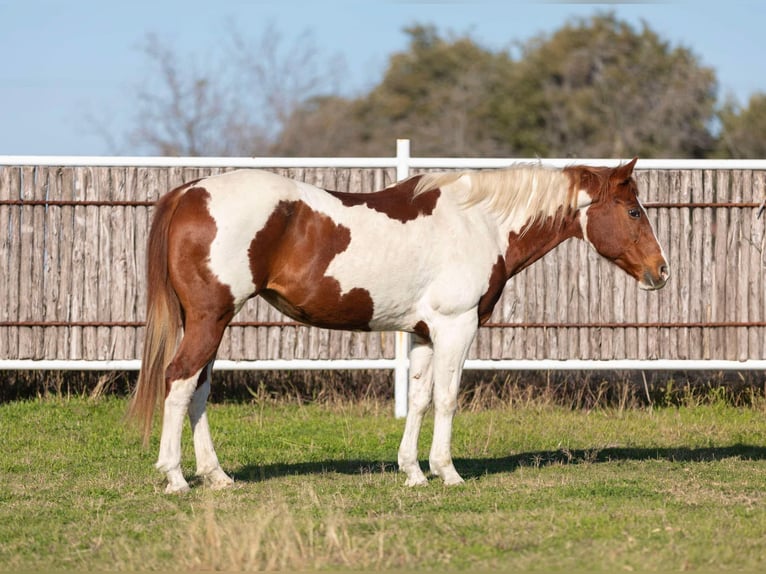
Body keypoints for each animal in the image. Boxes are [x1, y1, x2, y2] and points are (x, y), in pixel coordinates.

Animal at [129, 158, 668, 496]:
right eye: (633, 211)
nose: (661, 271)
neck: (480, 223)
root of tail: (190, 192)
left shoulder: (424, 332)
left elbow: (421, 397)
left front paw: (413, 472)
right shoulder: (456, 327)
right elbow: (448, 398)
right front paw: (447, 472)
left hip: (211, 323)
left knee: (198, 390)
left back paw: (216, 476)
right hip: (209, 319)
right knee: (179, 382)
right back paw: (175, 477)